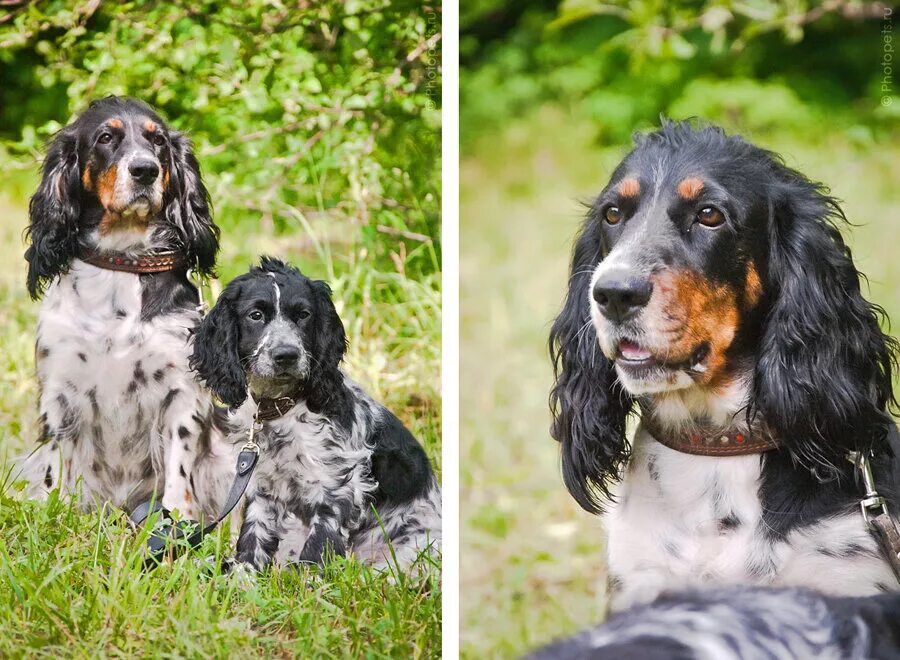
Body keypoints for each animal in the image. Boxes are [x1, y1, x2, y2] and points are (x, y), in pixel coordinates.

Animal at [21, 96, 234, 520]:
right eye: (106, 137)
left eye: (159, 141)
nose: (145, 170)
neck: (121, 262)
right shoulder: (59, 388)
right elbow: (55, 464)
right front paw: (52, 514)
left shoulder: (180, 389)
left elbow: (179, 468)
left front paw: (178, 522)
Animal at [191, 258, 442, 572]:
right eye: (256, 315)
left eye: (304, 315)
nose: (286, 355)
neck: (280, 408)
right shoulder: (262, 485)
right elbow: (254, 533)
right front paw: (244, 573)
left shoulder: (336, 483)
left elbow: (321, 541)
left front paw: (308, 580)